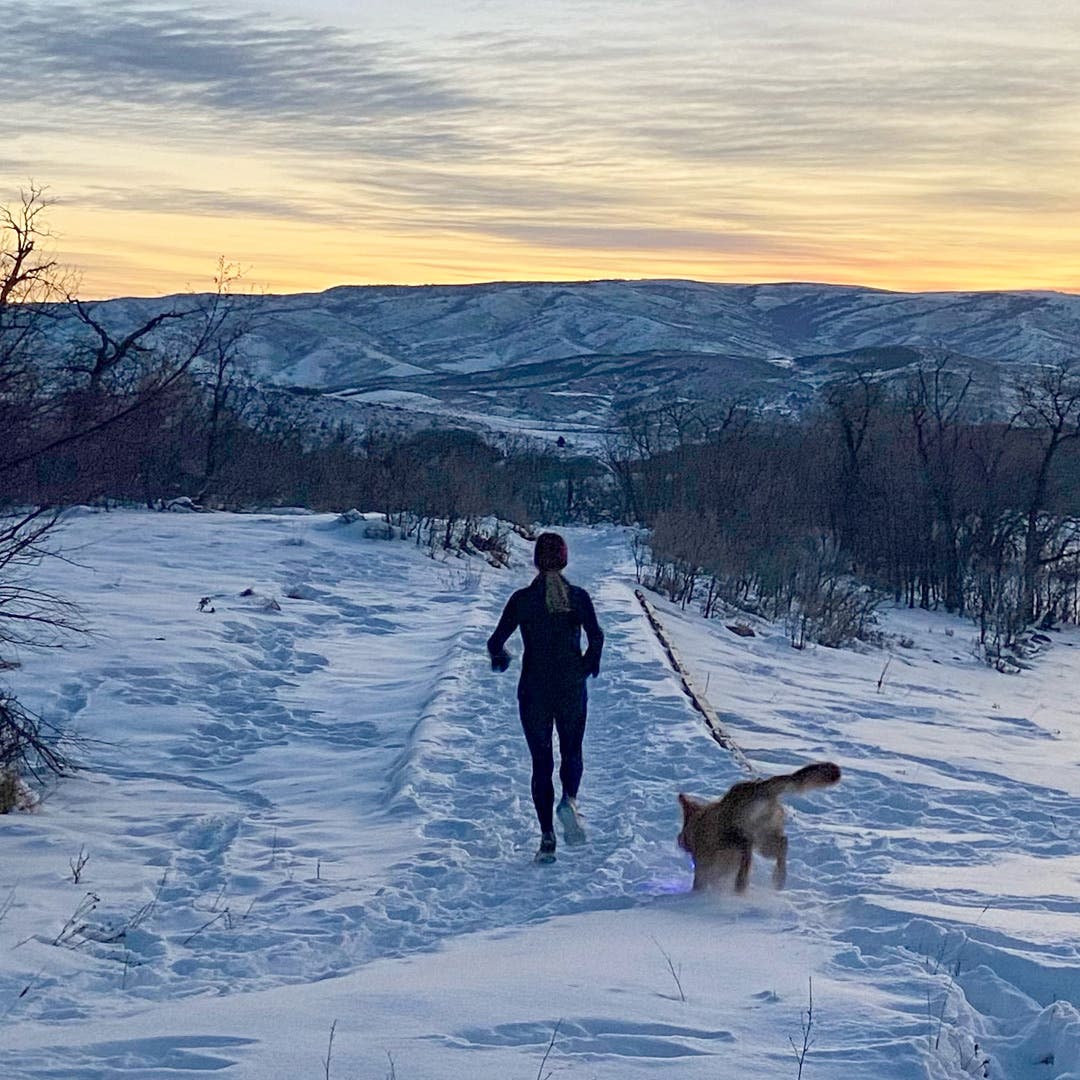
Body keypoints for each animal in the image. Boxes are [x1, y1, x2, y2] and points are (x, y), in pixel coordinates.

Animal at [673, 764, 842, 889]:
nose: (679, 840)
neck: (698, 823)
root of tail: (760, 787)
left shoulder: (705, 864)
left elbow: (701, 881)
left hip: (740, 836)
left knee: (747, 849)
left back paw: (741, 883)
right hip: (765, 841)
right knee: (782, 844)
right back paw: (778, 879)